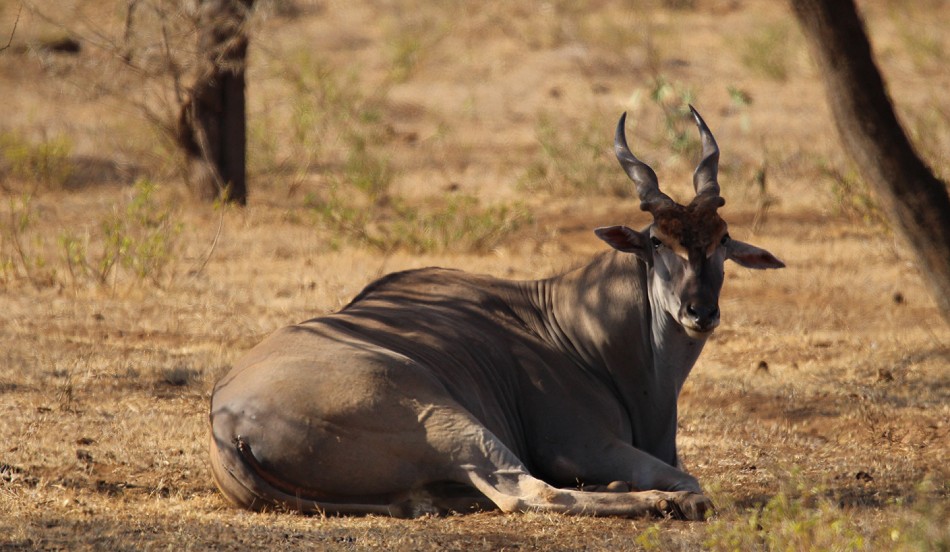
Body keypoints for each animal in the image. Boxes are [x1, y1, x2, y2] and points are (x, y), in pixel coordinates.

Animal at [212, 105, 784, 520]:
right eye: (658, 241)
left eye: (722, 239)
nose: (700, 311)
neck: (570, 328)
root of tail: (232, 419)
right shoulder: (581, 444)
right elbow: (690, 480)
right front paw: (675, 496)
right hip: (448, 419)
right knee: (526, 493)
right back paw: (659, 502)